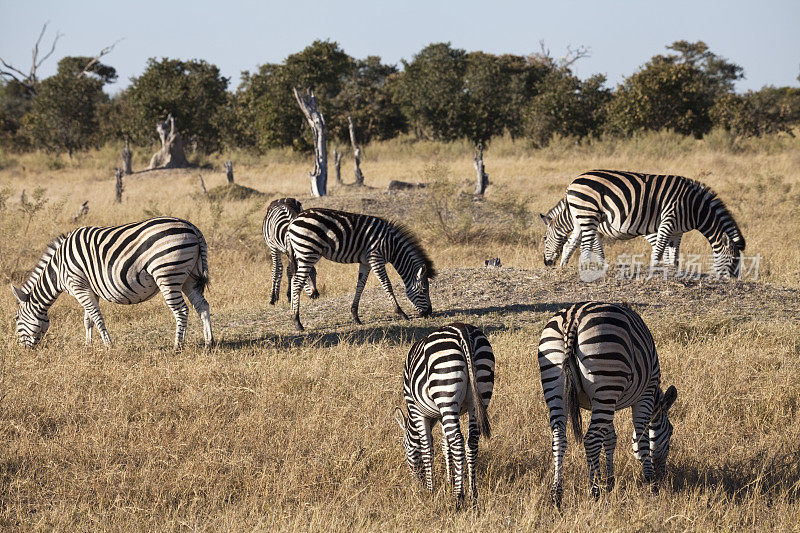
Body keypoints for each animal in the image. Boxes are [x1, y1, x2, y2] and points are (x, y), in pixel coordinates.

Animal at [13, 216, 212, 350]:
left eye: (16, 319)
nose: (23, 351)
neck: (58, 268)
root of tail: (192, 227)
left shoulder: (78, 285)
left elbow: (96, 317)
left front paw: (108, 346)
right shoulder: (89, 289)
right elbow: (88, 320)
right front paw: (88, 346)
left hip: (168, 275)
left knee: (182, 310)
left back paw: (177, 346)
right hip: (189, 277)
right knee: (202, 305)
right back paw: (209, 342)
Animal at [286, 207, 438, 328]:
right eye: (424, 290)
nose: (429, 313)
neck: (392, 246)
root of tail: (294, 220)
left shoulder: (366, 262)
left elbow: (360, 286)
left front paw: (355, 316)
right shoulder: (376, 258)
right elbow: (387, 285)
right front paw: (401, 313)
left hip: (302, 254)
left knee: (294, 279)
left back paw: (293, 315)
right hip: (308, 252)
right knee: (297, 282)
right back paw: (297, 322)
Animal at [394, 322, 494, 504]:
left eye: (405, 446)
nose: (417, 484)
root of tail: (462, 330)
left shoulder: (417, 411)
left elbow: (427, 448)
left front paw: (430, 489)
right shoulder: (441, 415)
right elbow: (444, 445)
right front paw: (450, 481)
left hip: (446, 388)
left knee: (458, 442)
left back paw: (458, 498)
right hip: (480, 393)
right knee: (471, 442)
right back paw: (472, 493)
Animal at [540, 170, 748, 278]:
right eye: (733, 260)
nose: (547, 263)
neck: (695, 207)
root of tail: (573, 182)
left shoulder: (677, 231)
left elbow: (673, 254)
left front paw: (672, 271)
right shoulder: (667, 220)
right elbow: (659, 250)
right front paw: (654, 271)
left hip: (585, 216)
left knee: (575, 243)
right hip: (588, 213)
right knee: (583, 246)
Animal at [540, 302, 680, 504]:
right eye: (670, 432)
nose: (662, 476)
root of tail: (572, 318)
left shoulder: (602, 402)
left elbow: (610, 438)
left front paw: (609, 481)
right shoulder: (645, 394)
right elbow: (642, 441)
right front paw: (650, 484)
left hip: (557, 382)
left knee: (559, 437)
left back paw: (556, 495)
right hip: (606, 373)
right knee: (591, 440)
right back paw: (594, 492)